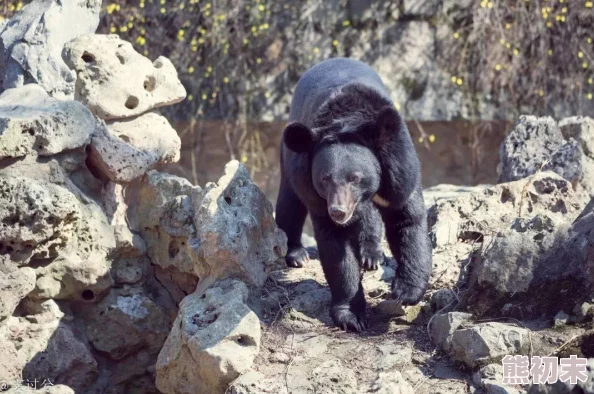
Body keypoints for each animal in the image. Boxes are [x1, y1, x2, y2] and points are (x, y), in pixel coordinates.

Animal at [272, 57, 430, 330]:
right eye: (324, 179)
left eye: (355, 177)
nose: (338, 211)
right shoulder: (313, 189)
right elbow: (336, 248)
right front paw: (351, 316)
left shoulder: (399, 167)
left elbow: (407, 219)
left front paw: (406, 291)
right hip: (291, 155)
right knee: (290, 203)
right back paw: (296, 254)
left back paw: (372, 255)